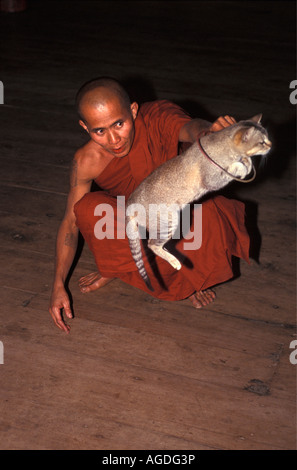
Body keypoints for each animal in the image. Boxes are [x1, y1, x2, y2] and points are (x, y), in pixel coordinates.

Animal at [125, 114, 270, 290]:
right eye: (262, 142)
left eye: (267, 138)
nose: (271, 145)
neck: (223, 144)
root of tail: (130, 205)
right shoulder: (213, 178)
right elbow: (233, 168)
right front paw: (243, 166)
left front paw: (247, 162)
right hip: (169, 220)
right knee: (152, 244)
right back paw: (174, 261)